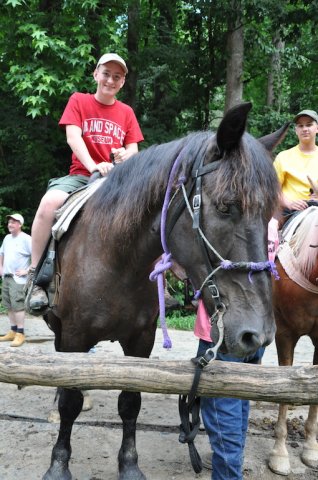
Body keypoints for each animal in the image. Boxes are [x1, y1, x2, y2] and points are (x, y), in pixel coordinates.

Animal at [41, 102, 286, 480]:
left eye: (269, 215)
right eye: (225, 206)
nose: (257, 335)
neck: (115, 259)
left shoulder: (141, 340)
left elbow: (131, 402)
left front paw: (129, 464)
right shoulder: (75, 336)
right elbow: (70, 401)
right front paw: (59, 463)